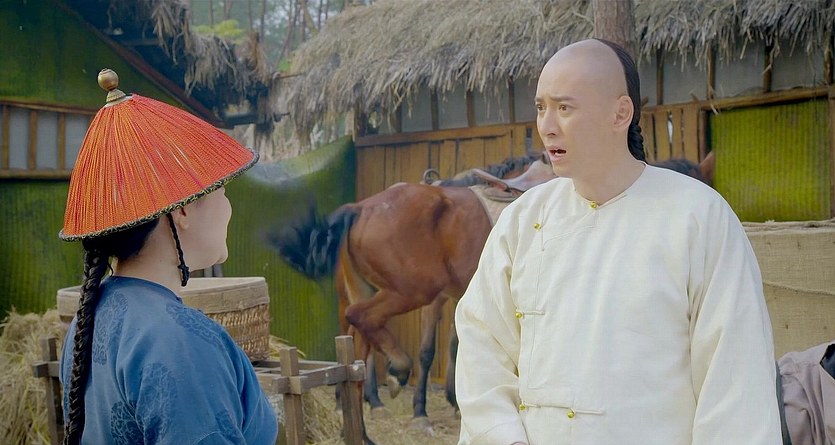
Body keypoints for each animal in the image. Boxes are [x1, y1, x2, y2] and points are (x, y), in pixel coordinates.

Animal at [270, 151, 715, 432]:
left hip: (376, 290)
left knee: (355, 358)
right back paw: (397, 371)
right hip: (410, 290)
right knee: (362, 323)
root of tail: (360, 208)